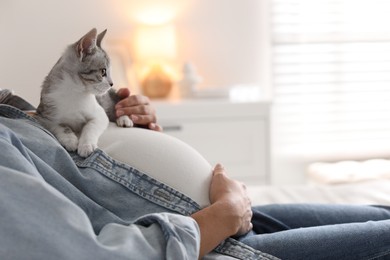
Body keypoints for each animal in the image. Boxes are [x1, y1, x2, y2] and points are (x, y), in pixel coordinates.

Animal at [36, 28, 134, 158]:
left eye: (109, 71)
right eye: (103, 71)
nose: (112, 83)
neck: (75, 90)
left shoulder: (99, 115)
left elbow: (91, 126)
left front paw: (86, 145)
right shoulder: (43, 115)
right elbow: (58, 126)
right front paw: (69, 139)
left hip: (104, 100)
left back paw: (124, 119)